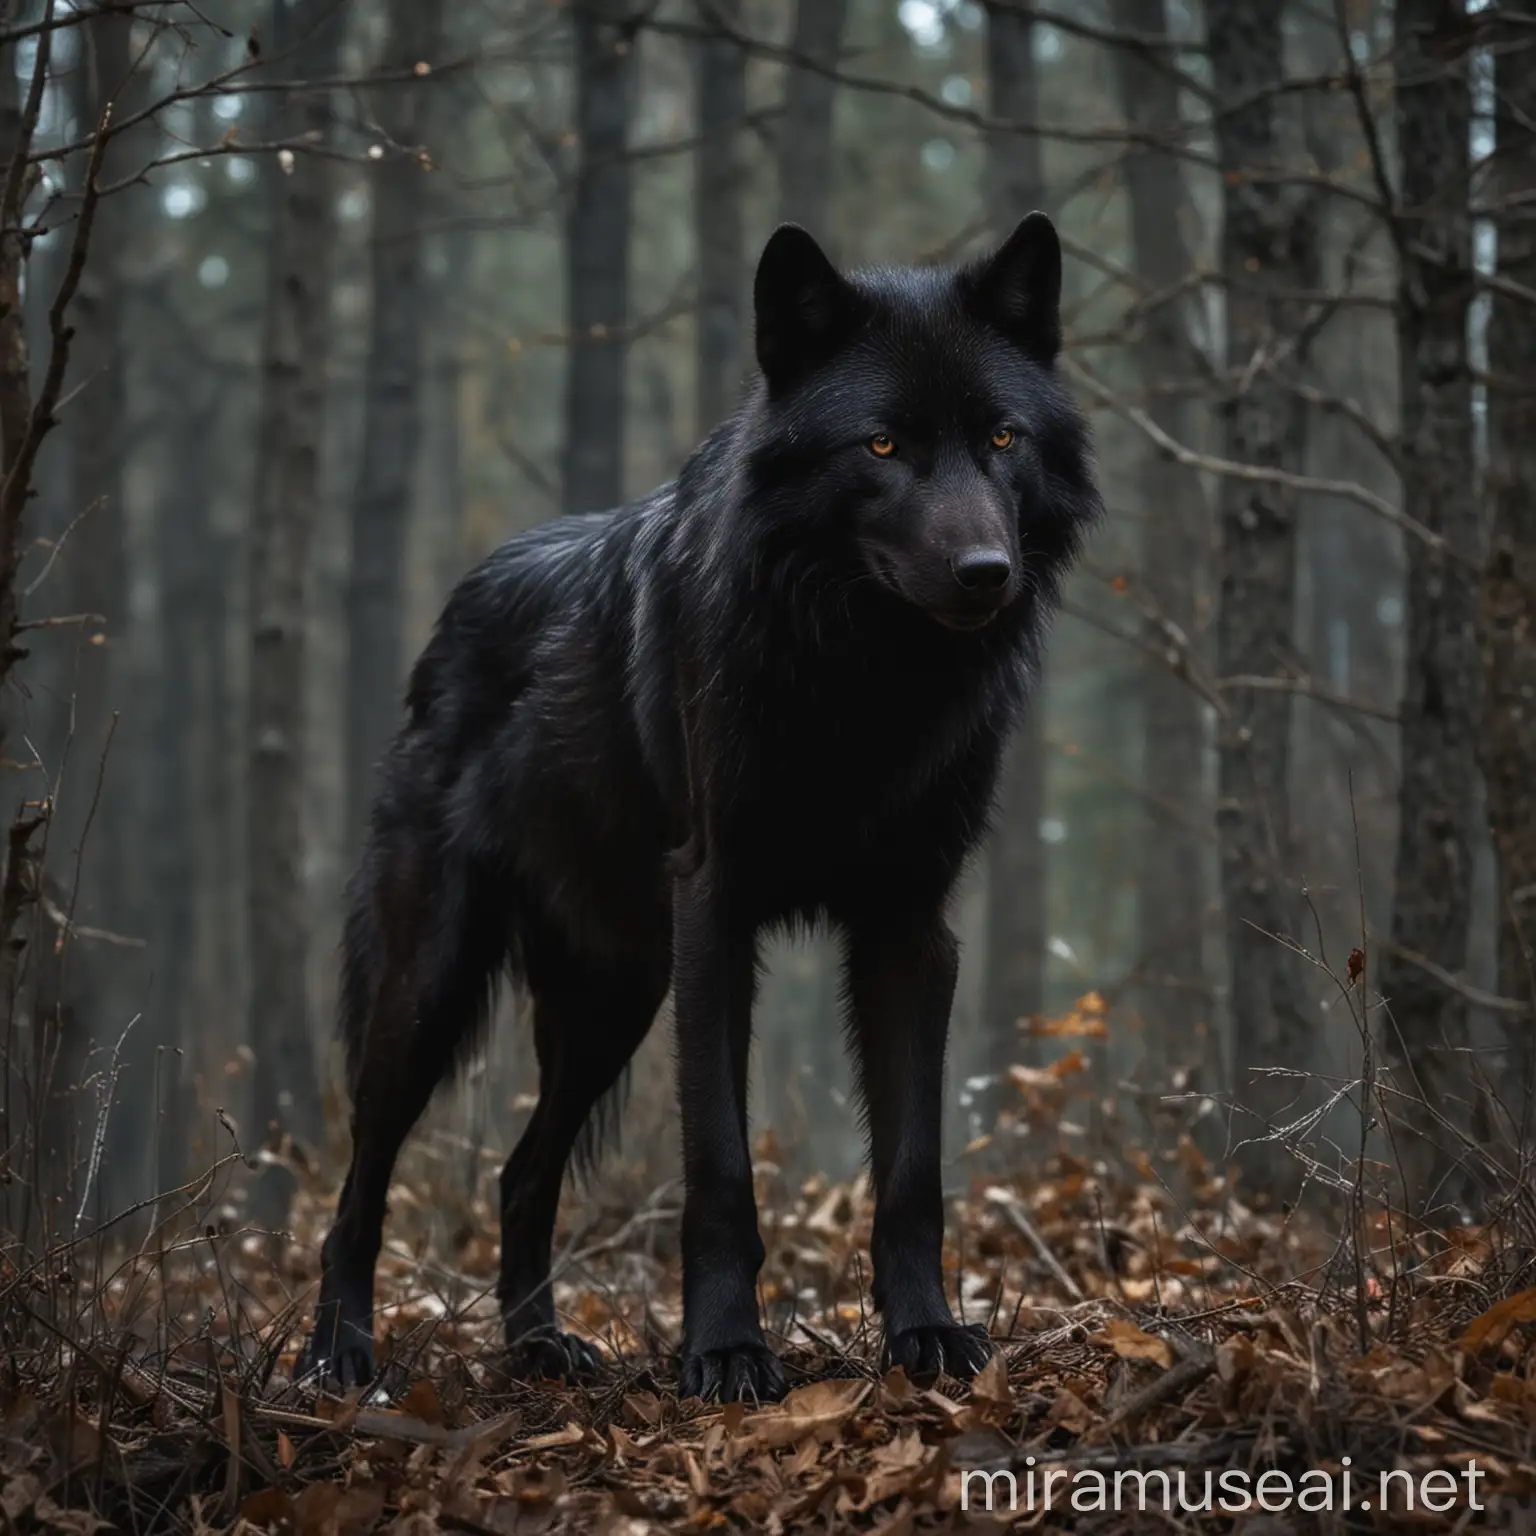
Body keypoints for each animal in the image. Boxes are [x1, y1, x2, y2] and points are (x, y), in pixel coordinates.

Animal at [305, 210, 1105, 1400]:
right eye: (881, 447)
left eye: (1002, 438)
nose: (985, 572)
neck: (865, 678)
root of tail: (455, 608)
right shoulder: (717, 916)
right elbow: (720, 1169)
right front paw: (726, 1351)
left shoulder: (910, 927)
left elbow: (911, 1171)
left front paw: (924, 1334)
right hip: (436, 988)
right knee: (360, 1185)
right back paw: (338, 1355)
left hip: (615, 999)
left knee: (517, 1174)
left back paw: (540, 1348)